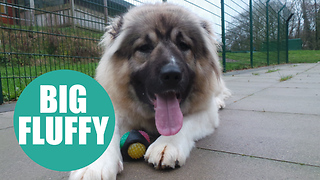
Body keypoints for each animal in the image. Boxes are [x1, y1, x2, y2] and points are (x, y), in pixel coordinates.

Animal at [70, 3, 230, 180]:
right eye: (144, 47)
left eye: (183, 45)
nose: (171, 74)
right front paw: (95, 166)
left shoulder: (206, 113)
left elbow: (185, 122)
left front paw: (167, 144)